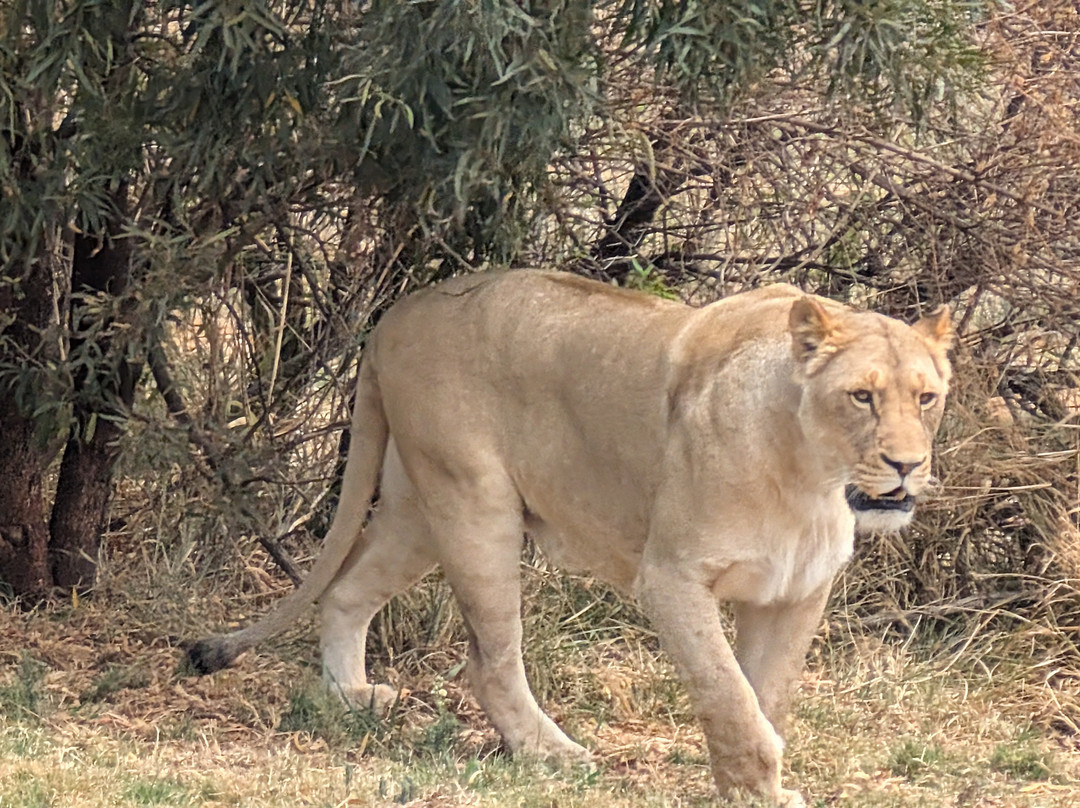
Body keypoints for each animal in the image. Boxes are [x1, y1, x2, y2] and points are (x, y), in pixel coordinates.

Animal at [186, 270, 952, 806]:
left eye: (927, 398)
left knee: (344, 593)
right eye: (860, 396)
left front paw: (751, 788)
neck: (809, 478)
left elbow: (766, 694)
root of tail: (397, 313)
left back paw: (350, 696)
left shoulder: (795, 591)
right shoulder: (670, 577)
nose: (906, 465)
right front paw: (759, 783)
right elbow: (728, 691)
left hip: (418, 510)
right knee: (489, 661)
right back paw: (550, 753)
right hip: (476, 505)